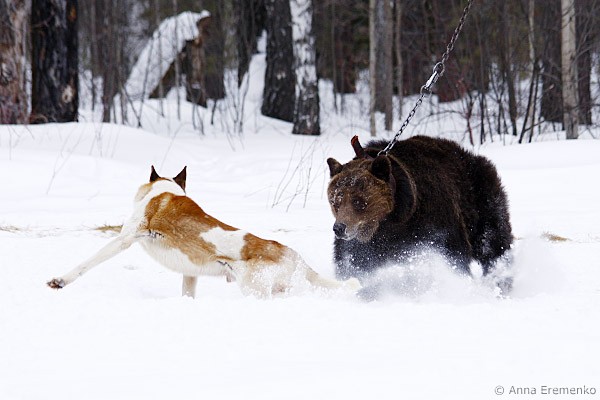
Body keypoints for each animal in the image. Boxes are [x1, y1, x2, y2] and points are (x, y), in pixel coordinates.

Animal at [326, 135, 513, 294]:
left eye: (358, 201)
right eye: (336, 201)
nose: (339, 228)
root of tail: (470, 155)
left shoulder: (433, 222)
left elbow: (452, 254)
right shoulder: (364, 244)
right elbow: (356, 263)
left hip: (481, 199)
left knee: (492, 242)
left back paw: (500, 280)